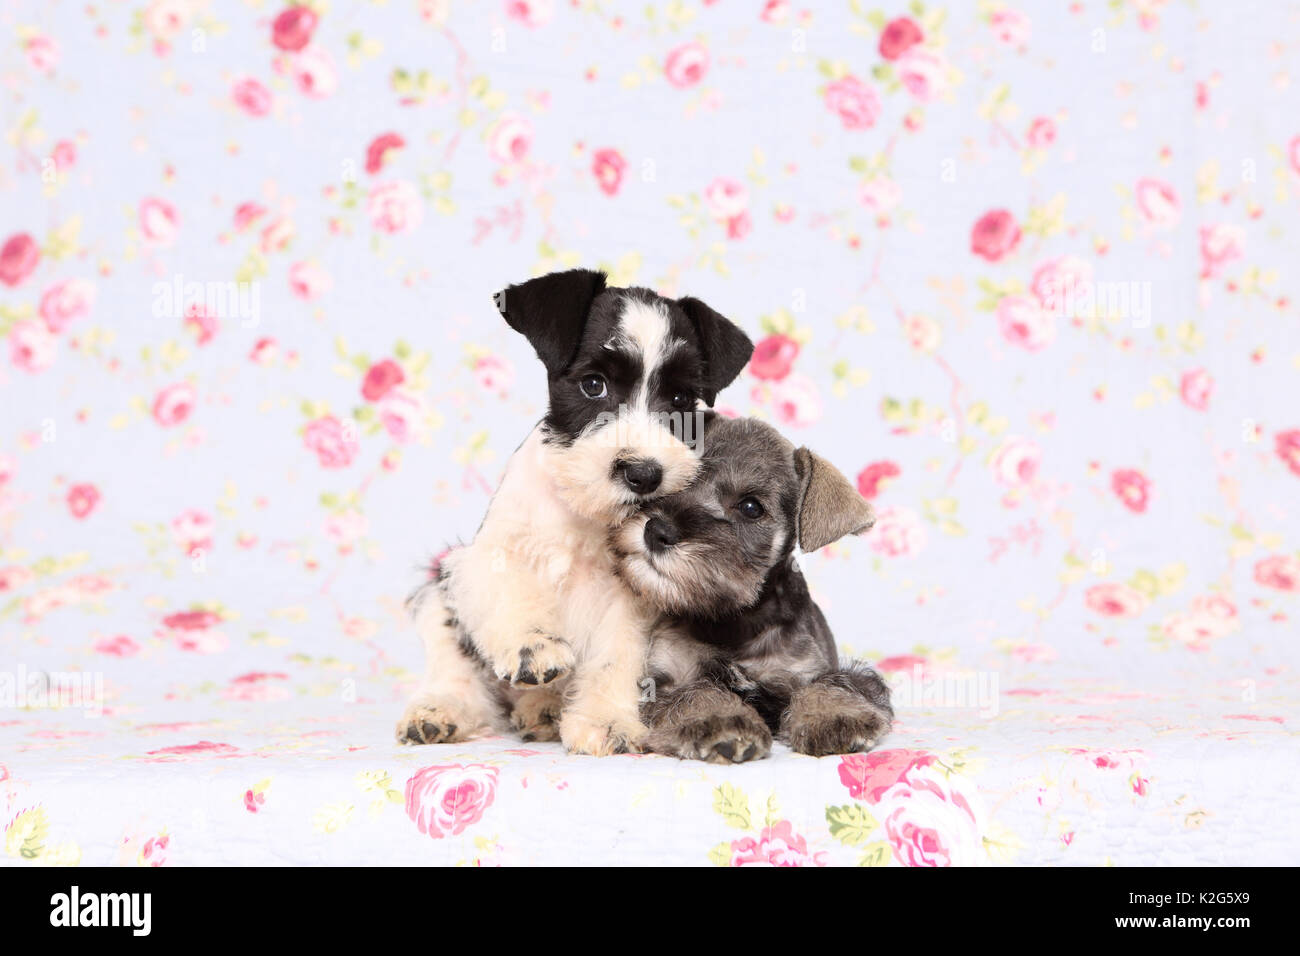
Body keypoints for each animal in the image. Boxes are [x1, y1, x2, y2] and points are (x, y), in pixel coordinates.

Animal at [395, 269, 754, 754]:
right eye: (593, 384)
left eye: (681, 399)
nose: (643, 473)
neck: (582, 512)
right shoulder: (489, 553)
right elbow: (511, 587)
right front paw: (533, 647)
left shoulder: (630, 596)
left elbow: (616, 655)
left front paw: (606, 720)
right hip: (438, 589)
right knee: (455, 666)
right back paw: (439, 711)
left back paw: (542, 710)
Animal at [608, 416, 894, 764]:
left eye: (750, 507)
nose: (656, 530)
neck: (732, 619)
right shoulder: (663, 679)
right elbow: (696, 692)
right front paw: (721, 721)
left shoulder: (808, 669)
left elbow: (833, 683)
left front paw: (836, 718)